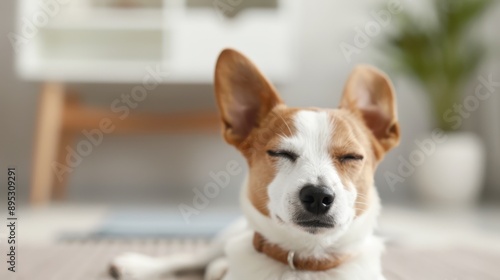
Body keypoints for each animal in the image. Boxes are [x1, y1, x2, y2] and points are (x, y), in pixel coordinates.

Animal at [109, 48, 398, 280]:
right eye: (280, 153)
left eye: (351, 157)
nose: (317, 195)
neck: (307, 259)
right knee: (192, 256)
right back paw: (138, 265)